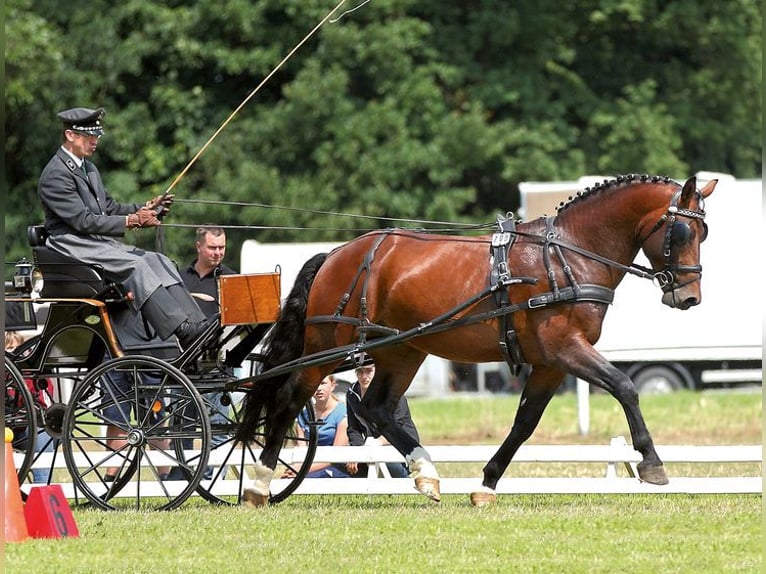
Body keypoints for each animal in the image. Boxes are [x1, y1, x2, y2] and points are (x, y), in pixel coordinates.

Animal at [237, 174, 716, 508]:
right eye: (680, 234)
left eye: (703, 234)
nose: (689, 297)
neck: (569, 254)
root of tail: (337, 253)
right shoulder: (566, 348)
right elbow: (625, 387)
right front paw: (651, 463)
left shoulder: (550, 363)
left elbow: (525, 423)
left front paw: (487, 483)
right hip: (324, 348)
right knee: (289, 399)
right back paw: (259, 483)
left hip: (401, 351)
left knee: (376, 408)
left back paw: (425, 472)